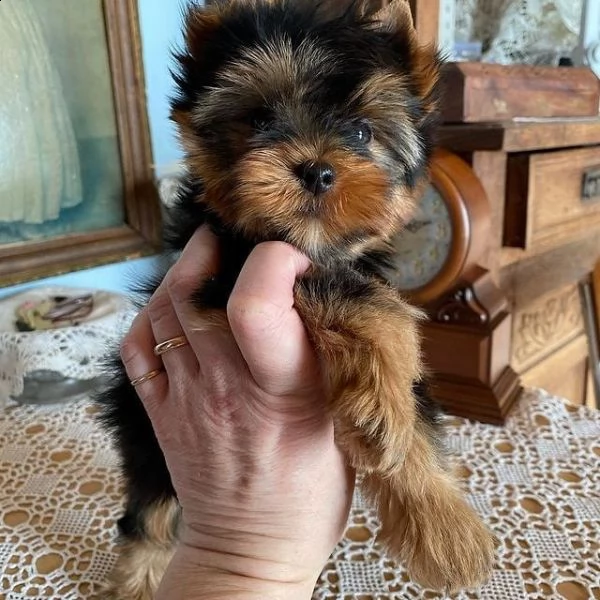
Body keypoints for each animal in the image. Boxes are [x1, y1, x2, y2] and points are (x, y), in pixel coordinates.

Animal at [97, 0, 492, 596]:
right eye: (259, 120)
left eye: (361, 132)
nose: (317, 169)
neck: (310, 243)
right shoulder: (231, 271)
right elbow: (359, 300)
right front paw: (386, 403)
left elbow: (415, 412)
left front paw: (443, 522)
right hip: (142, 425)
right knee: (152, 502)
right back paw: (140, 574)